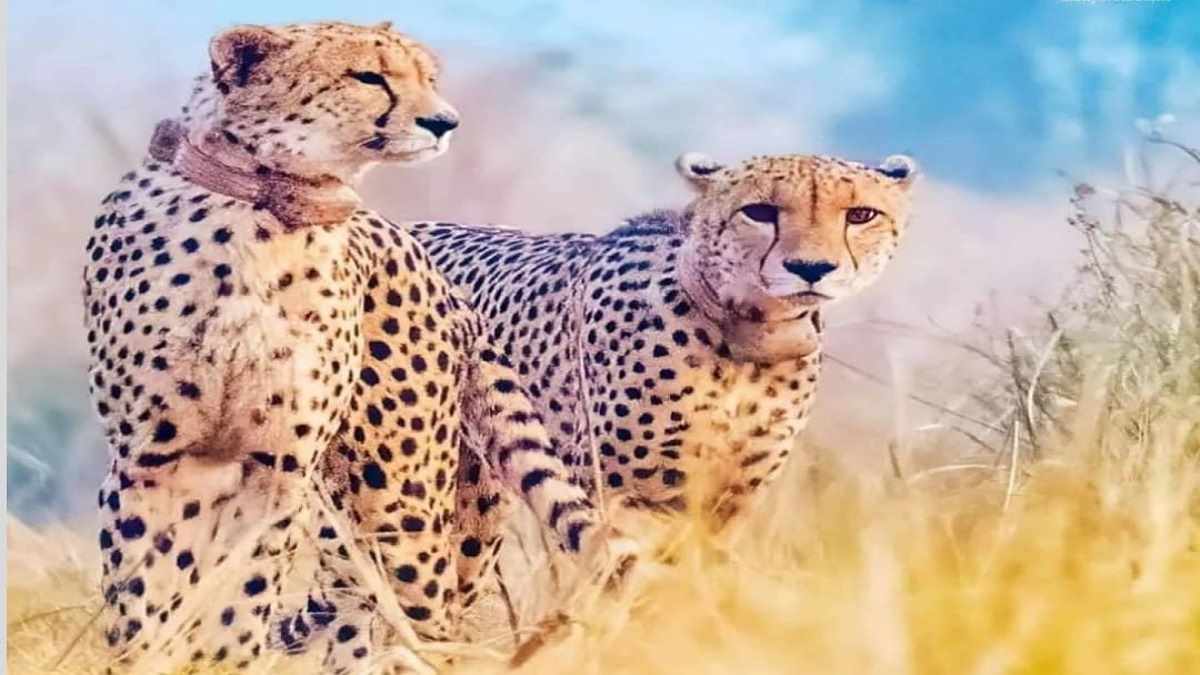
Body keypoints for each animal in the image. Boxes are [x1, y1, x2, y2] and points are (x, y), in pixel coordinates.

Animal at [83, 21, 616, 674]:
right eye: (368, 76)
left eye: (427, 77)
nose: (445, 121)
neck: (265, 209)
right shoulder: (151, 462)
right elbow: (142, 596)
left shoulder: (278, 469)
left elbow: (239, 597)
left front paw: (224, 659)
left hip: (401, 505)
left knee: (423, 617)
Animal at [409, 151, 918, 537]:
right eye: (759, 211)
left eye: (861, 215)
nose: (812, 268)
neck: (750, 342)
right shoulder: (616, 492)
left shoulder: (726, 503)